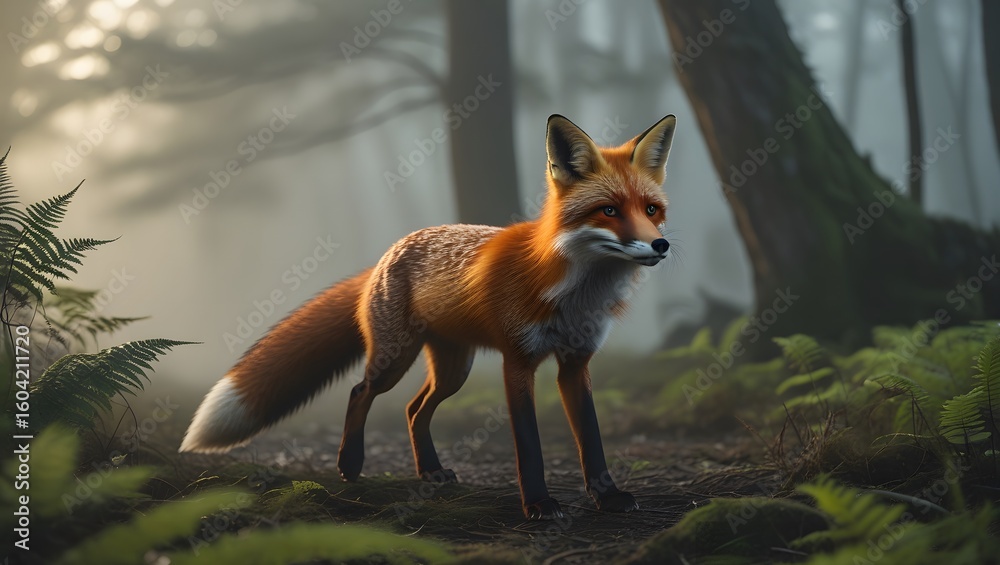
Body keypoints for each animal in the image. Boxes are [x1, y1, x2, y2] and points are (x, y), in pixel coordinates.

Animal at [180, 113, 677, 519]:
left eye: (652, 210)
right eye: (608, 210)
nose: (661, 245)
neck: (575, 292)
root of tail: (389, 251)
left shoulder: (576, 363)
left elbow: (591, 437)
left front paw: (608, 497)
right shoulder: (518, 362)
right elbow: (529, 445)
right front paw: (537, 504)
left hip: (454, 369)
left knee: (414, 410)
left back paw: (431, 472)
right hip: (396, 359)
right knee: (361, 391)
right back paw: (350, 465)